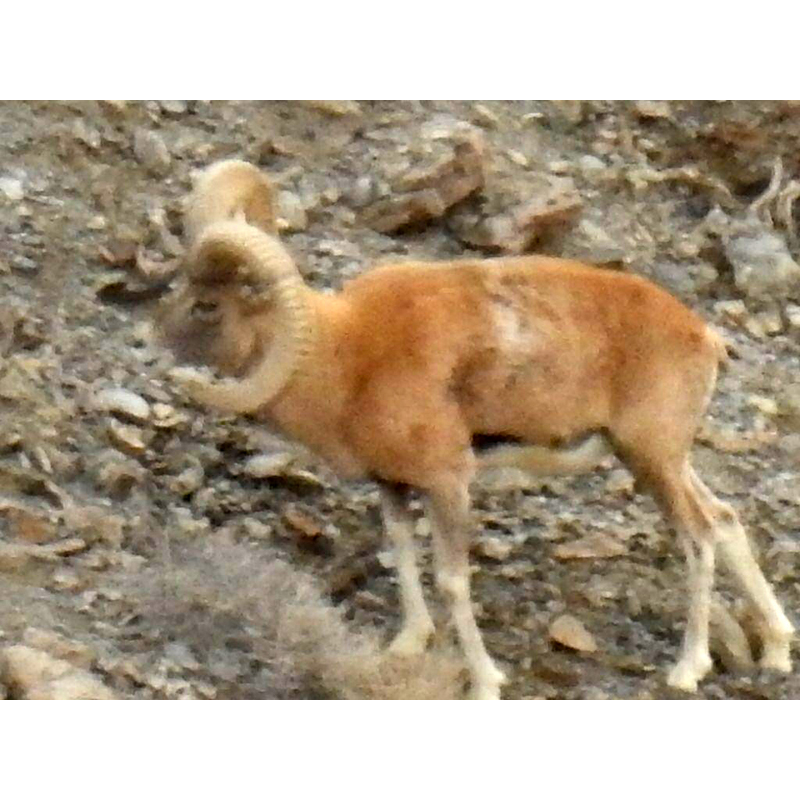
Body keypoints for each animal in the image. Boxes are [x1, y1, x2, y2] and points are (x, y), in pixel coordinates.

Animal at [158, 161, 792, 700]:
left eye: (208, 305)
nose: (151, 343)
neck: (345, 357)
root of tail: (703, 336)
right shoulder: (393, 484)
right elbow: (402, 553)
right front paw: (407, 645)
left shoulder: (448, 483)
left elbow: (452, 581)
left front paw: (487, 683)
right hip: (666, 461)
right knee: (727, 520)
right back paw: (778, 651)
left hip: (650, 460)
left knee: (699, 537)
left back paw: (687, 670)